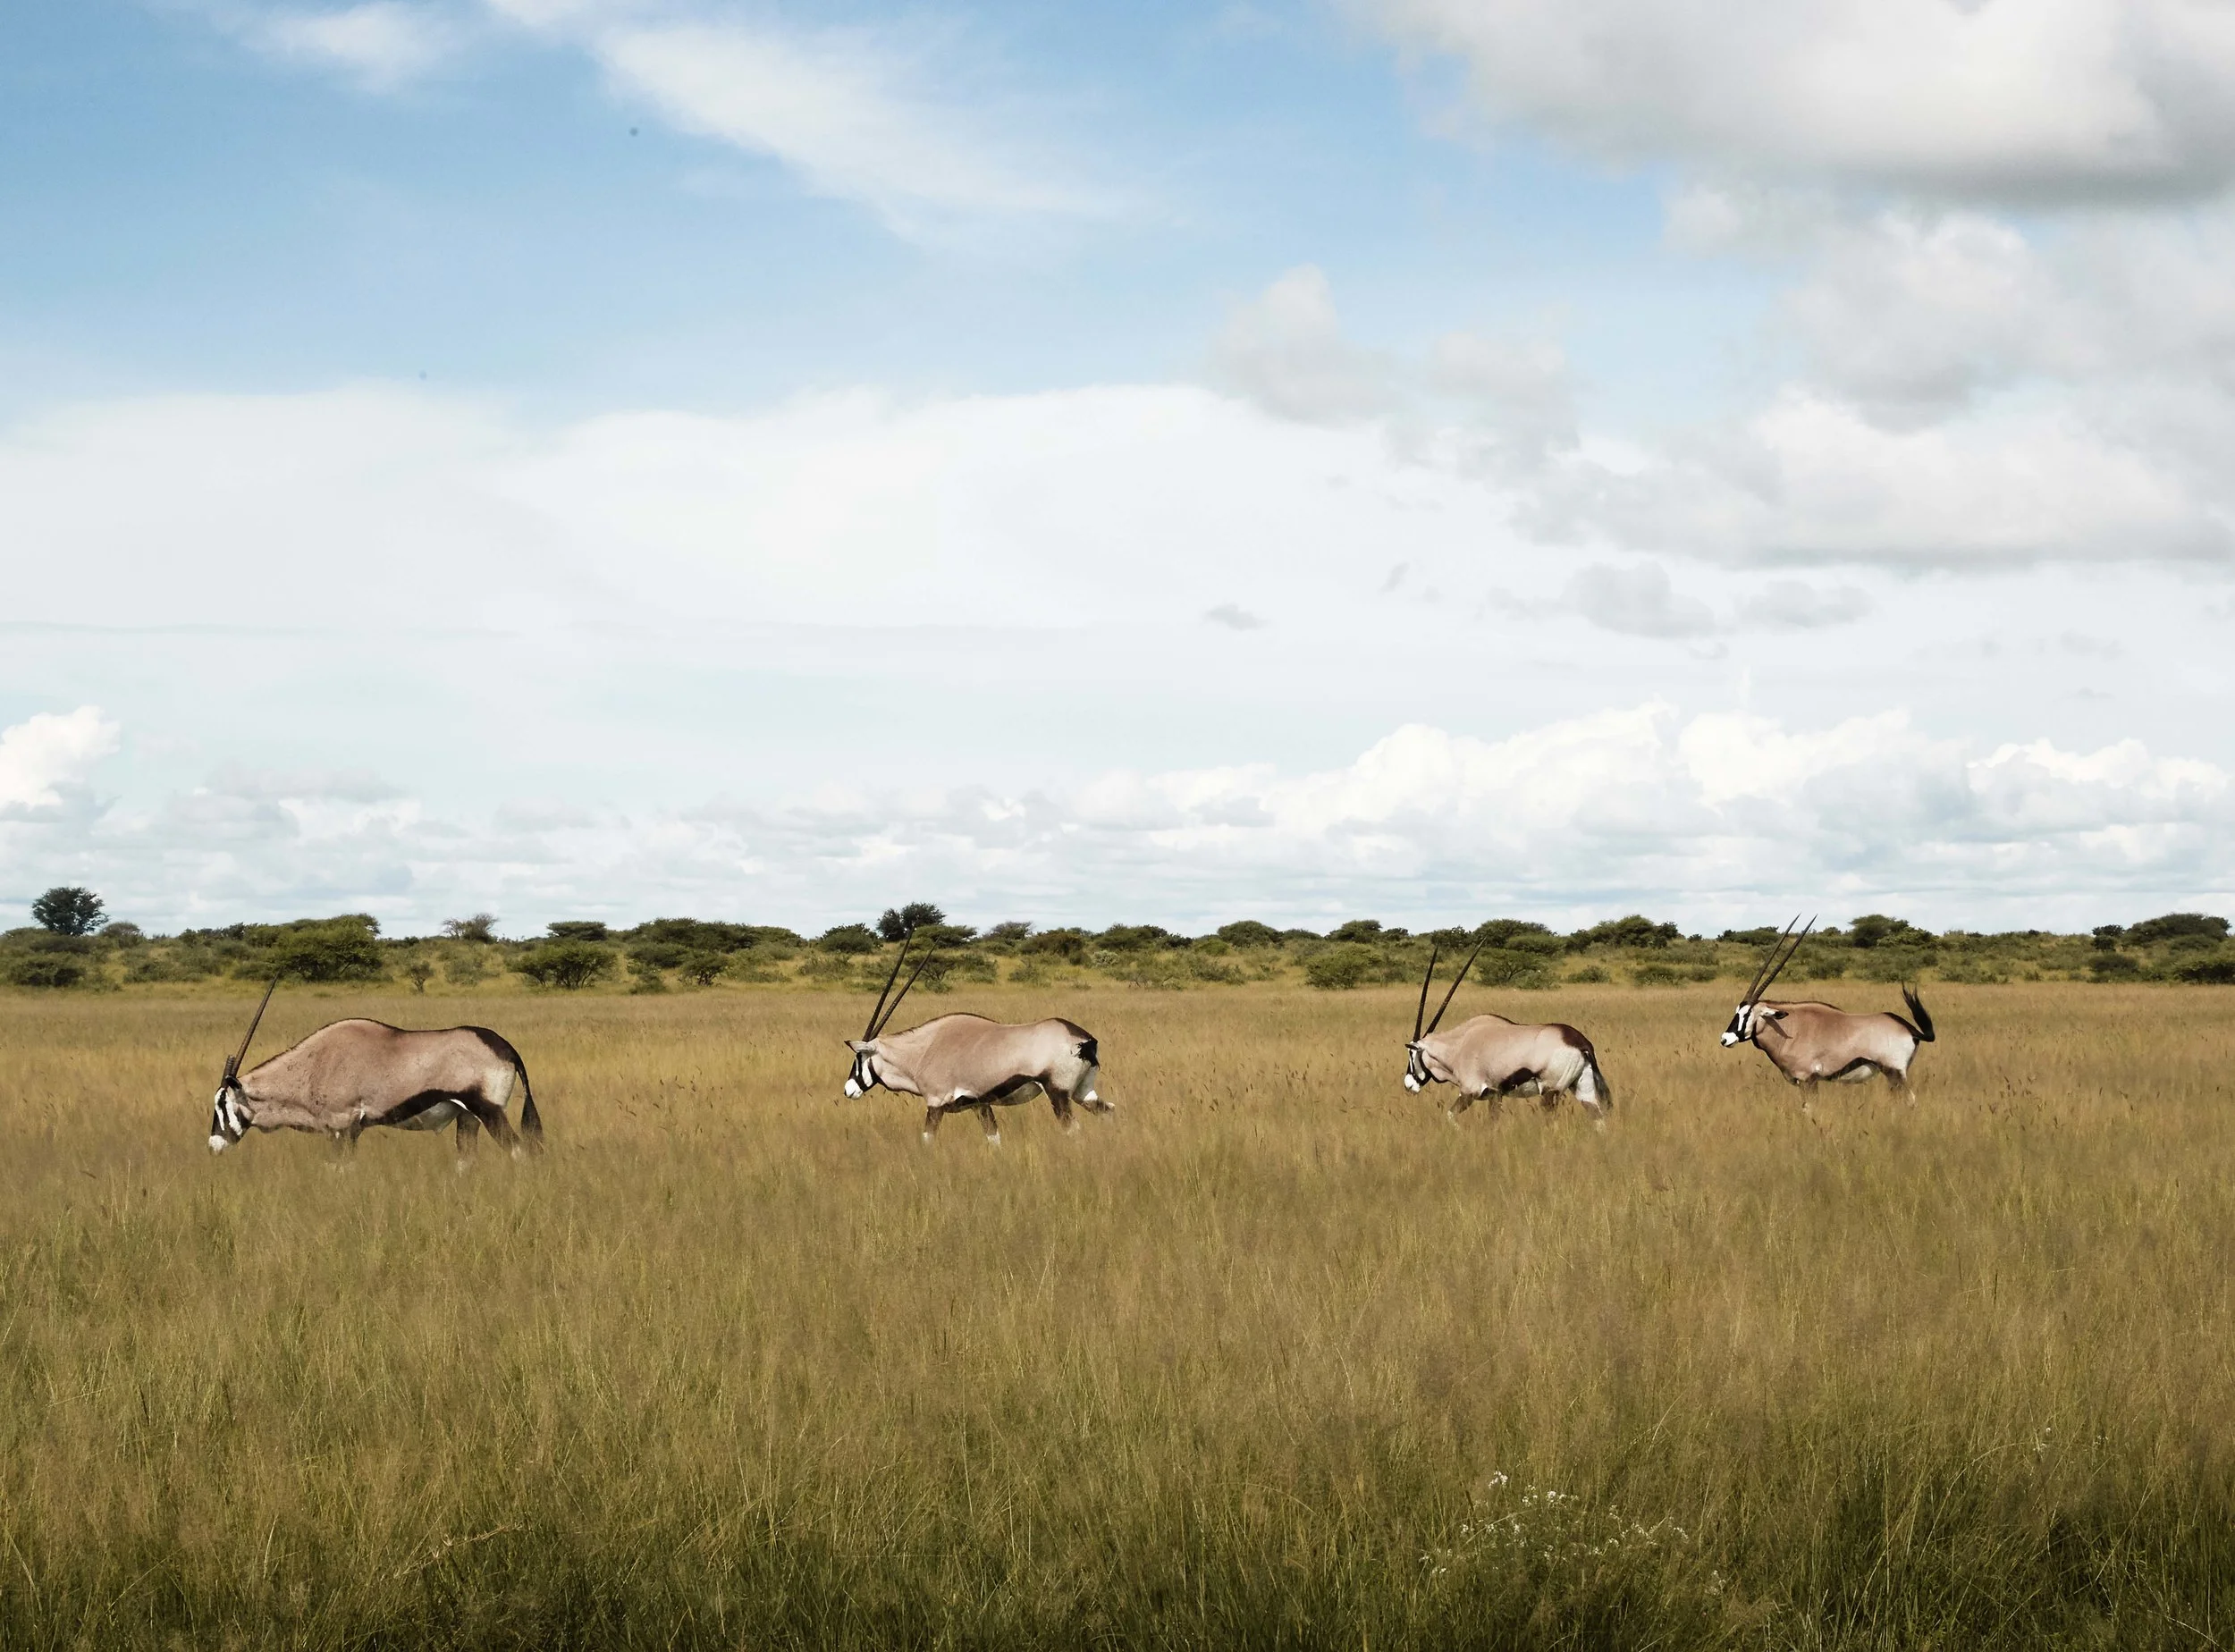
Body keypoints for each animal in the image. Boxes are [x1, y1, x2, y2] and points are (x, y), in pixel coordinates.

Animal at [207, 979, 543, 1160]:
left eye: (223, 1104)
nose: (213, 1147)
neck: (314, 1065)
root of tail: (506, 1048)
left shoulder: (343, 1128)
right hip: (467, 1118)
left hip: (490, 1112)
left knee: (519, 1151)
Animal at [843, 937, 1108, 1143]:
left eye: (859, 1057)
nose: (848, 1090)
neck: (922, 1052)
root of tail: (1084, 1040)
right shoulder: (980, 1104)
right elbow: (994, 1139)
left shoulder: (936, 1105)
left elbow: (927, 1140)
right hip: (1083, 1092)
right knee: (1108, 1113)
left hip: (1059, 1095)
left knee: (1073, 1130)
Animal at [1403, 941, 1613, 1121]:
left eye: (1412, 1055)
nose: (1408, 1085)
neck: (1457, 1046)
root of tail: (1581, 1043)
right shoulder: (1495, 1095)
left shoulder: (1471, 1091)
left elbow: (1450, 1116)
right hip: (1582, 1088)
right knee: (1598, 1118)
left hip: (1550, 1092)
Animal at [1721, 917, 1936, 1098]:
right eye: (1736, 1011)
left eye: (1747, 1013)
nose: (1725, 1039)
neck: (1790, 1029)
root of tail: (1910, 1029)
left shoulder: (1807, 1080)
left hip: (1894, 1073)